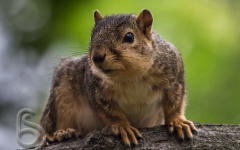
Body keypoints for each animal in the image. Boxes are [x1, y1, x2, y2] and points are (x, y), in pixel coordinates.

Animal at [39, 9, 197, 146]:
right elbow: (111, 112)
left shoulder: (174, 75)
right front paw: (123, 127)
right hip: (60, 98)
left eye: (129, 37)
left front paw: (177, 121)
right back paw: (60, 134)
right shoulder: (97, 90)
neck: (130, 75)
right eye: (92, 36)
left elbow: (175, 102)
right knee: (48, 128)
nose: (97, 56)